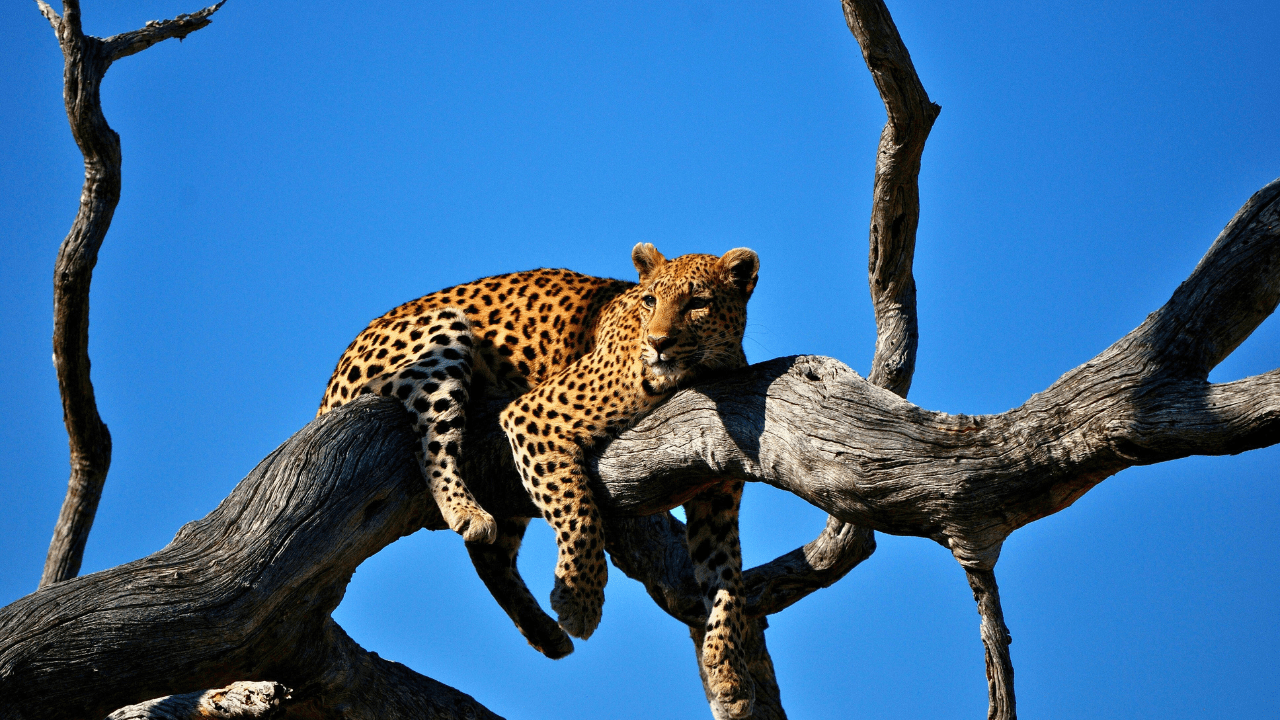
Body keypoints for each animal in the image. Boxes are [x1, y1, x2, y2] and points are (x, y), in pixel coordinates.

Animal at [320, 243, 757, 712]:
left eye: (698, 303)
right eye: (649, 301)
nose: (658, 343)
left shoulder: (716, 497)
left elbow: (727, 579)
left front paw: (730, 674)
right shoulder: (535, 417)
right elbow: (579, 512)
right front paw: (580, 602)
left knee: (491, 554)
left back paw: (544, 632)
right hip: (444, 333)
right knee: (433, 442)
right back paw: (466, 511)